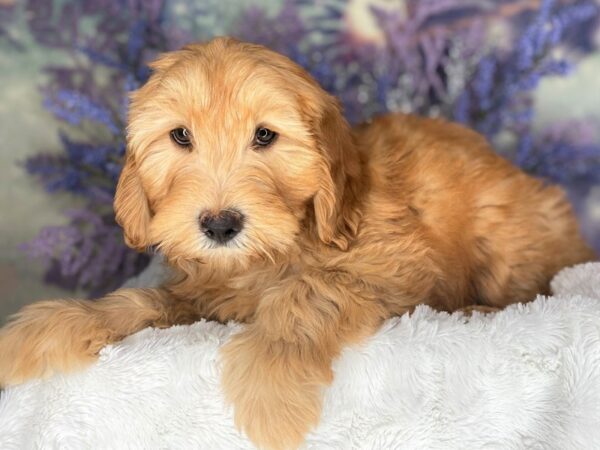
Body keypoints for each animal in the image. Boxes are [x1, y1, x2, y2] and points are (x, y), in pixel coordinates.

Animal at [0, 37, 596, 448]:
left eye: (265, 135)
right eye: (180, 136)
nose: (220, 225)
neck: (272, 250)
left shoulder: (393, 267)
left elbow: (306, 292)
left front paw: (272, 387)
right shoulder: (204, 295)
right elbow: (137, 301)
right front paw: (45, 330)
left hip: (510, 238)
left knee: (530, 288)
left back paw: (476, 310)